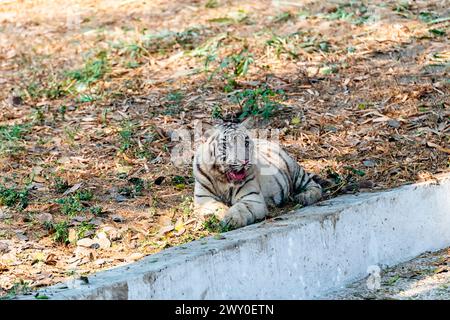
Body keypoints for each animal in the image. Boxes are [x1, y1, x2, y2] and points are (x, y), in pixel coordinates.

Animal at [192, 119, 322, 229]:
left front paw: (231, 219)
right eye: (225, 145)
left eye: (246, 142)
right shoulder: (203, 199)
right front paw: (222, 215)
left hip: (294, 170)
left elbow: (240, 208)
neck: (224, 178)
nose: (245, 161)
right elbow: (216, 207)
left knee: (315, 186)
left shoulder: (252, 198)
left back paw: (304, 197)